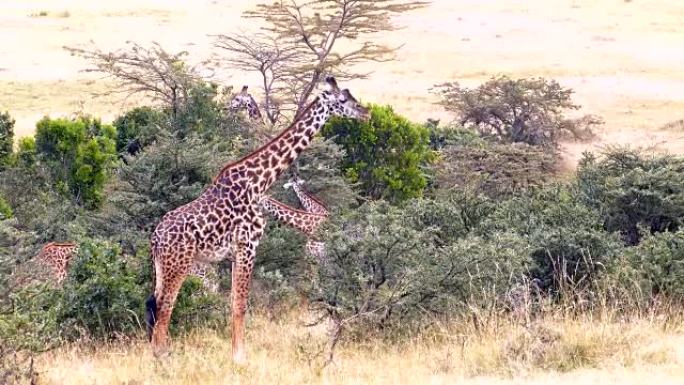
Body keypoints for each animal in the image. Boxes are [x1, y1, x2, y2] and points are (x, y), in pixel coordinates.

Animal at [146, 76, 368, 364]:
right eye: (342, 100)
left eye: (351, 95)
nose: (366, 112)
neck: (259, 180)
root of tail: (155, 238)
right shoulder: (248, 245)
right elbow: (240, 304)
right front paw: (240, 358)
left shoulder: (234, 254)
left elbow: (232, 301)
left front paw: (236, 354)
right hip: (179, 264)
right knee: (165, 305)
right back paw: (163, 357)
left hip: (163, 266)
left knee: (155, 302)